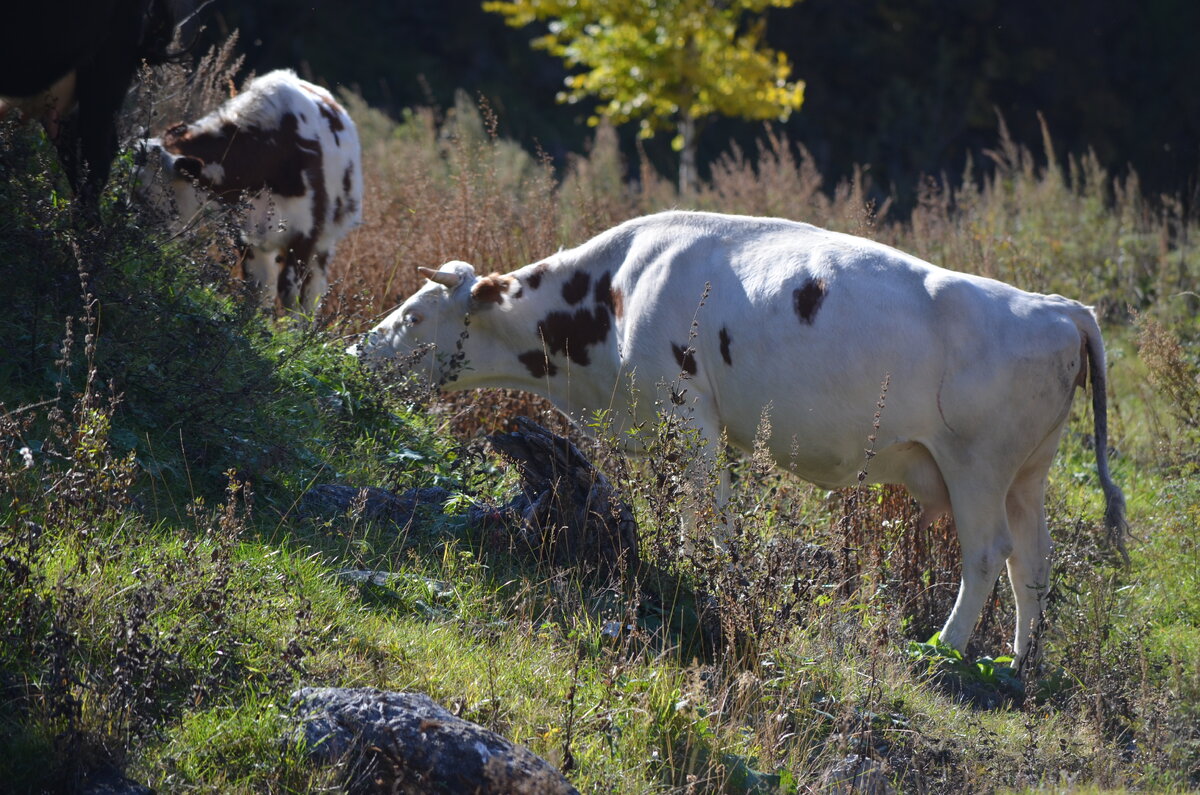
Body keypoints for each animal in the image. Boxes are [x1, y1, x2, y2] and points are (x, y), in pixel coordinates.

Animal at [139, 69, 360, 314]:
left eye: (157, 193)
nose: (138, 235)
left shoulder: (305, 234)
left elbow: (291, 295)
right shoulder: (246, 233)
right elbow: (257, 288)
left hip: (324, 242)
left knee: (313, 290)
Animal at [355, 208, 1123, 662]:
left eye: (416, 313)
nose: (359, 347)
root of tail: (1059, 307)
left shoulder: (688, 416)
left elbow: (705, 520)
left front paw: (703, 579)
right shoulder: (706, 432)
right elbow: (711, 521)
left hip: (978, 467)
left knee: (989, 553)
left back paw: (945, 645)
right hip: (1029, 474)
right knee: (1034, 562)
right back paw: (1019, 662)